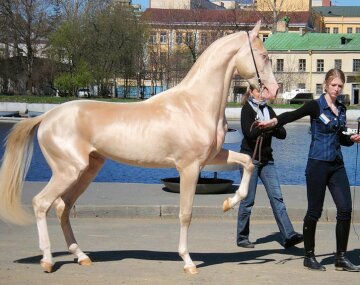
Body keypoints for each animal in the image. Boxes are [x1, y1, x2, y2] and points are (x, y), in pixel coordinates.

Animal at [0, 21, 278, 272]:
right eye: (264, 56)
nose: (274, 90)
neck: (195, 104)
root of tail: (47, 117)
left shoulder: (212, 157)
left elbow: (248, 163)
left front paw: (229, 203)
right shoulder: (189, 167)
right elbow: (185, 213)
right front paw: (188, 262)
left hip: (86, 171)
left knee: (63, 207)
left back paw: (81, 256)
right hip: (68, 171)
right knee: (41, 203)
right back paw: (47, 261)